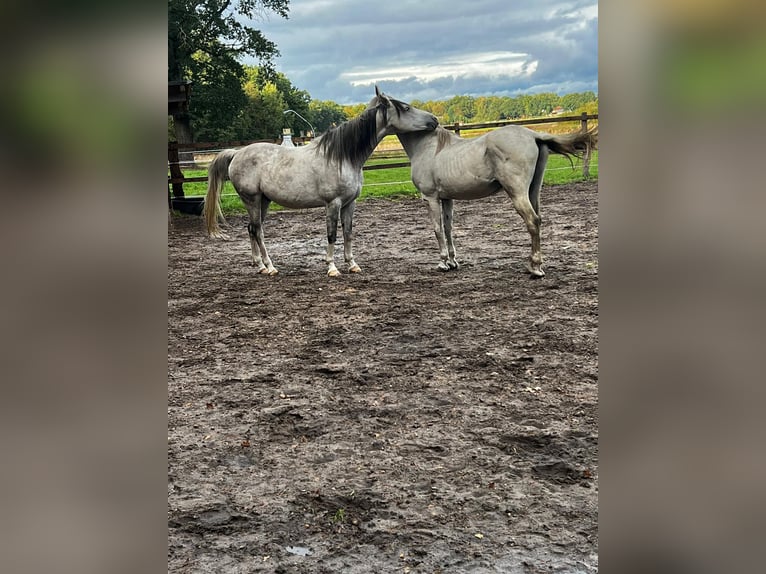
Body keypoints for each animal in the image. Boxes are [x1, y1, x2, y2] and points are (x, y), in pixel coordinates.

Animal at [204, 86, 438, 278]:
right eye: (406, 108)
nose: (434, 120)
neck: (343, 157)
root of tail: (237, 153)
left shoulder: (349, 203)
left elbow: (348, 233)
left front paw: (352, 264)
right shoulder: (333, 203)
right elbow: (332, 235)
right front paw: (332, 268)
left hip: (263, 201)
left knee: (251, 229)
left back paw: (259, 265)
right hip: (251, 200)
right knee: (258, 230)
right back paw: (270, 267)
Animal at [396, 112, 600, 276]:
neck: (430, 148)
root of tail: (534, 135)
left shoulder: (430, 198)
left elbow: (437, 229)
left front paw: (443, 263)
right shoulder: (447, 198)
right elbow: (448, 228)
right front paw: (453, 261)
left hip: (517, 193)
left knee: (532, 221)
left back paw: (534, 268)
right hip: (533, 191)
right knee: (538, 219)